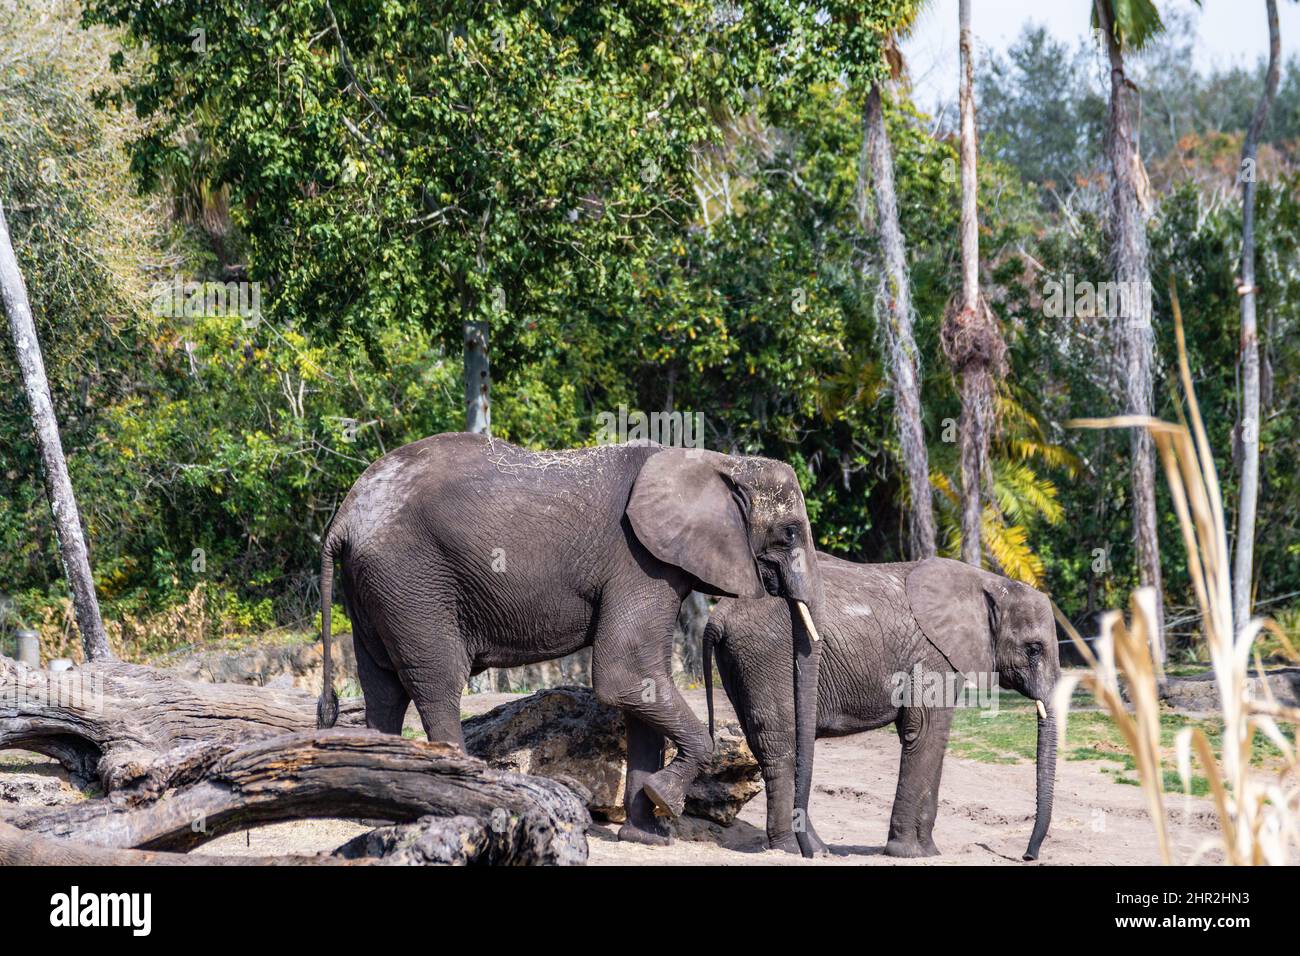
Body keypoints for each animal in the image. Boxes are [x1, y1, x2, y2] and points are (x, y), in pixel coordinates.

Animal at [317, 434, 821, 853]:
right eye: (790, 532)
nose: (806, 850)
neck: (717, 462)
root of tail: (344, 515)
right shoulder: (639, 562)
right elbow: (624, 674)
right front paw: (663, 801)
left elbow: (643, 683)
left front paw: (647, 837)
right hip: (412, 579)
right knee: (436, 682)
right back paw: (451, 804)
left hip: (374, 586)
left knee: (382, 686)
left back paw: (372, 809)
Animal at [707, 554, 1060, 858]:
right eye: (1033, 649)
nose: (1027, 855)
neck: (988, 582)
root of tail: (719, 614)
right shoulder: (934, 655)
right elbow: (926, 731)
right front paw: (911, 853)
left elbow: (929, 736)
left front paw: (929, 852)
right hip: (767, 656)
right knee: (781, 746)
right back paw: (798, 850)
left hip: (742, 662)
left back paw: (815, 849)